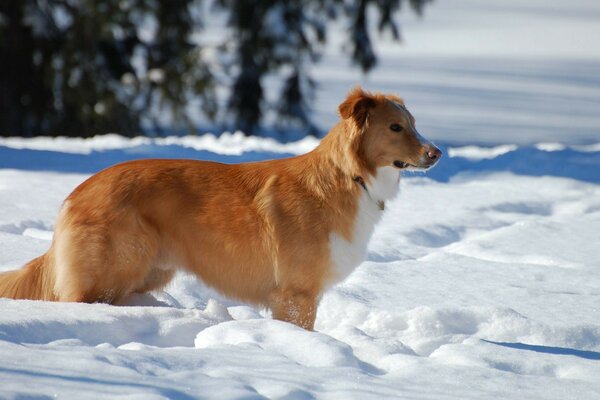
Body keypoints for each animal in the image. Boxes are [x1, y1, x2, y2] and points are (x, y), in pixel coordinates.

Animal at [0, 87, 440, 328]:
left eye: (415, 125)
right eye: (395, 128)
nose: (436, 154)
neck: (350, 175)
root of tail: (78, 191)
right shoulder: (296, 296)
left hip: (146, 273)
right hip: (111, 273)